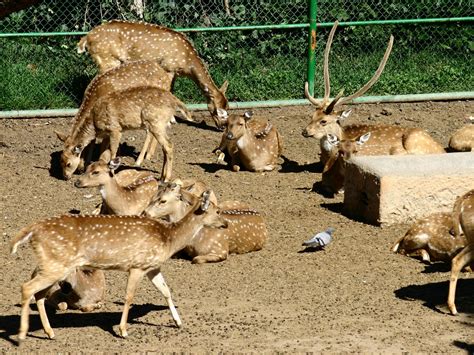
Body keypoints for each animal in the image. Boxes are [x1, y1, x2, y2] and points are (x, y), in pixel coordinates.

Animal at [10, 191, 227, 344]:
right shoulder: (137, 265)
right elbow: (129, 296)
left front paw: (178, 322)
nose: (225, 223)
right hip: (57, 264)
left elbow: (166, 290)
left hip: (52, 264)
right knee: (27, 288)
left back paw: (50, 332)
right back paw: (21, 335)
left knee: (38, 293)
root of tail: (32, 230)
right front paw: (123, 331)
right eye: (217, 211)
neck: (169, 239)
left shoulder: (152, 266)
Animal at [78, 19, 230, 129]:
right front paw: (171, 120)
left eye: (228, 106)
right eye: (217, 110)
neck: (187, 63)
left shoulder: (174, 73)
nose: (223, 127)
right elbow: (167, 90)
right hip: (107, 59)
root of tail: (86, 38)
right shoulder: (168, 67)